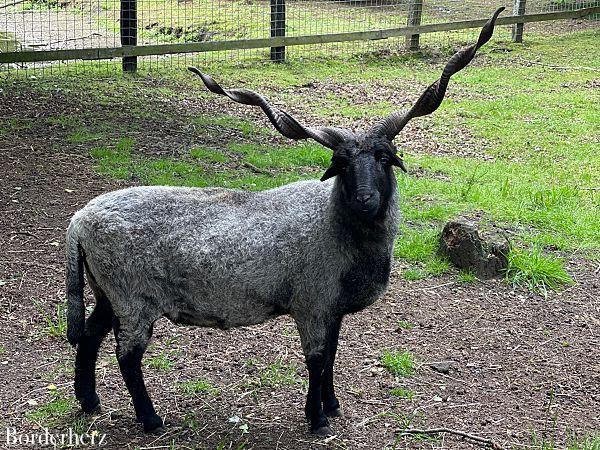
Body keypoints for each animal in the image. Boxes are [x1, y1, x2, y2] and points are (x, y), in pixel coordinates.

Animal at [65, 7, 504, 436]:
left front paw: (333, 405)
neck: (334, 225)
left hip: (107, 291)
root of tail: (79, 221)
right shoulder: (312, 302)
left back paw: (90, 402)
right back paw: (150, 420)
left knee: (88, 337)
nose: (365, 199)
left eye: (384, 158)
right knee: (127, 355)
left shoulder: (332, 308)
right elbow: (317, 359)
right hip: (132, 297)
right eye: (341, 164)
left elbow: (333, 355)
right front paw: (317, 419)